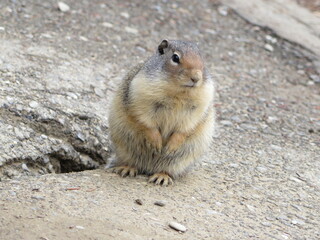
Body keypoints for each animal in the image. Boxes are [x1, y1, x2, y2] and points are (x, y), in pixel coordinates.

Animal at [108, 39, 215, 186]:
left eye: (202, 59)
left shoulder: (199, 107)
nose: (196, 78)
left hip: (181, 159)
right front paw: (157, 143)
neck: (179, 92)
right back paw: (126, 169)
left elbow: (186, 128)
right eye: (175, 58)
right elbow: (146, 121)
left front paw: (171, 146)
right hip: (124, 148)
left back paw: (161, 177)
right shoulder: (141, 97)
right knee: (131, 162)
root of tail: (148, 168)